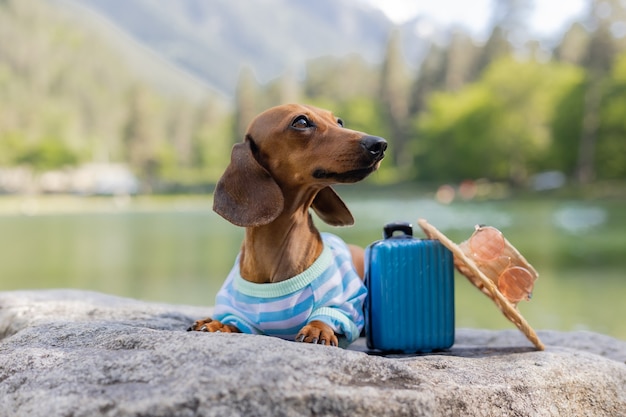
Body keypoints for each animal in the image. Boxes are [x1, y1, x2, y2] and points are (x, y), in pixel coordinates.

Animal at [189, 105, 386, 348]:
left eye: (339, 122)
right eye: (300, 122)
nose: (379, 144)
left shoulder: (344, 303)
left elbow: (327, 314)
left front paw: (318, 329)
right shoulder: (239, 310)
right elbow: (234, 320)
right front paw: (219, 324)